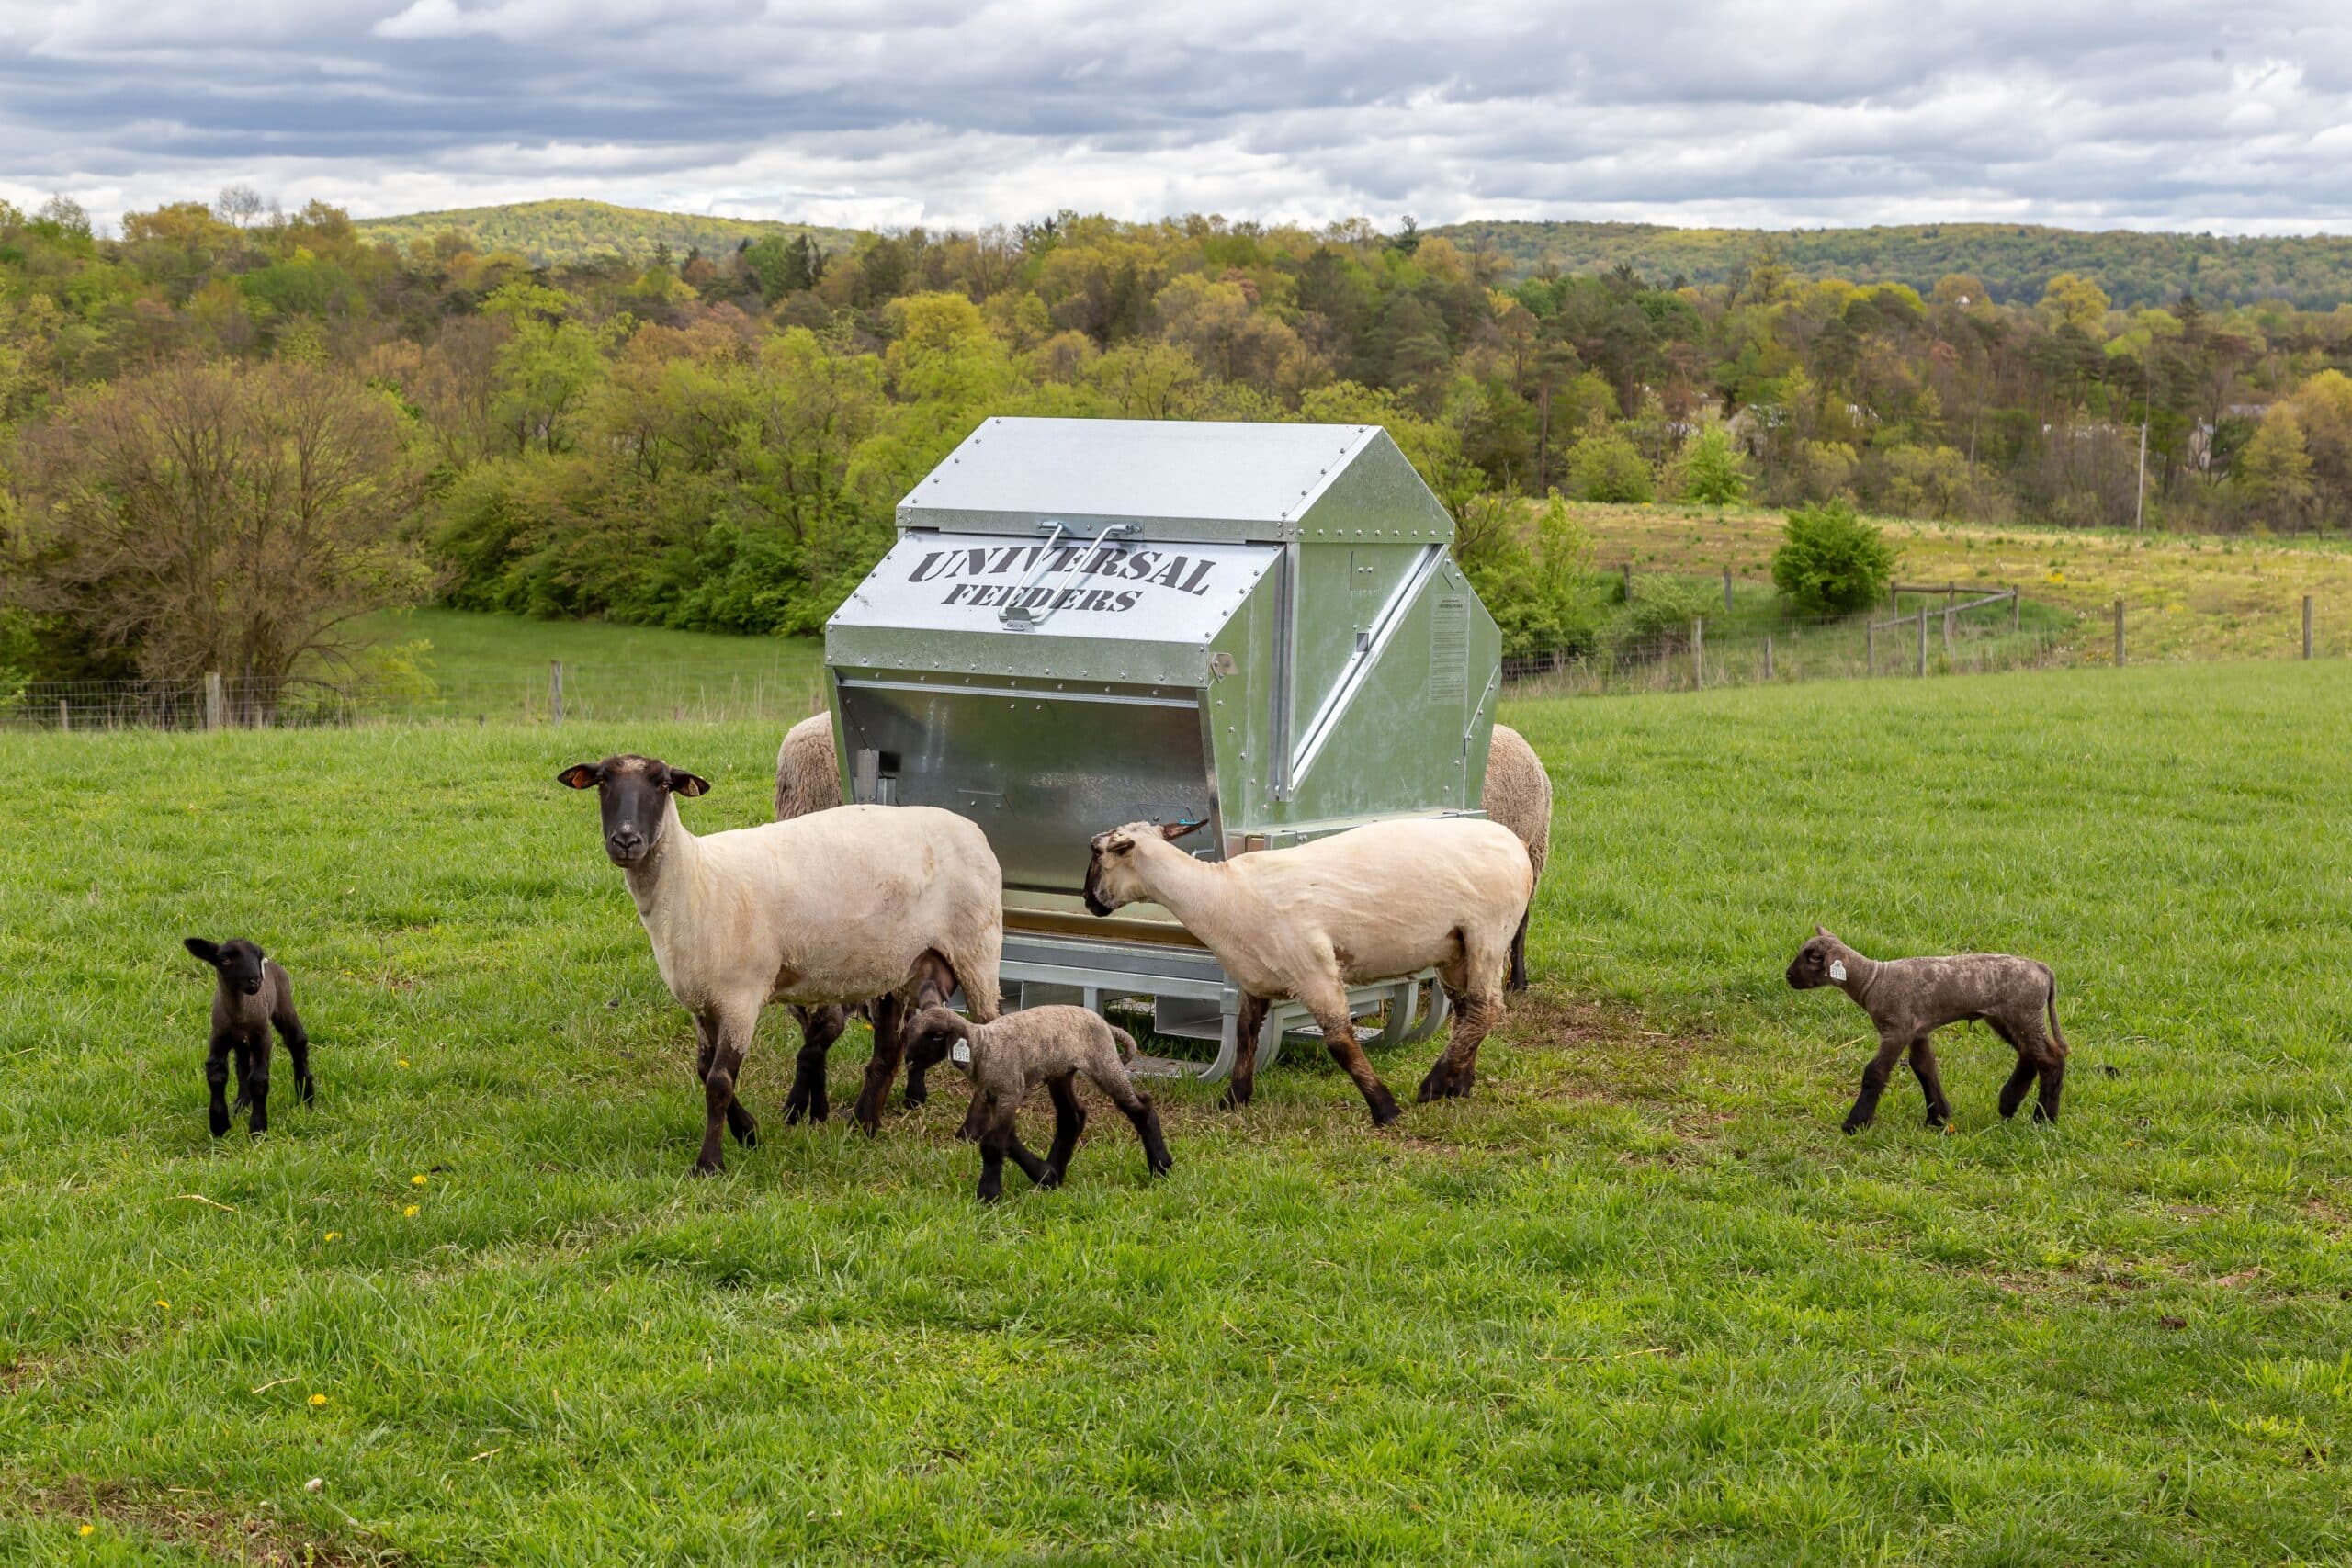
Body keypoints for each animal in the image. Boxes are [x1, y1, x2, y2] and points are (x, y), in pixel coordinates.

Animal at [182, 937, 313, 1136]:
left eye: (257, 957)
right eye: (225, 961)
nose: (255, 980)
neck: (239, 1015)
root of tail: (273, 964)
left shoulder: (263, 1038)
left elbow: (259, 1080)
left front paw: (258, 1129)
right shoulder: (218, 1037)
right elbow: (216, 1075)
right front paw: (219, 1124)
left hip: (284, 1004)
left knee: (297, 1043)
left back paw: (306, 1096)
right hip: (242, 1043)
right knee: (242, 1067)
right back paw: (241, 1104)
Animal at [558, 753, 1003, 1174]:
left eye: (664, 784)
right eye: (602, 782)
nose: (626, 840)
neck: (694, 881)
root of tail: (974, 830)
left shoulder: (740, 997)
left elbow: (719, 1082)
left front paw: (710, 1163)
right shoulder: (702, 1002)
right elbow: (704, 1069)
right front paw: (749, 1132)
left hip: (978, 952)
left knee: (986, 1036)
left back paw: (968, 1130)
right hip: (901, 964)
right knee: (889, 1050)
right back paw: (863, 1124)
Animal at [905, 1005, 1173, 1202]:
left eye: (936, 1036)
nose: (907, 1061)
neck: (984, 1048)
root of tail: (1106, 1024)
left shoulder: (1009, 1093)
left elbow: (993, 1144)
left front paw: (988, 1195)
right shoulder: (991, 1096)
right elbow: (1006, 1140)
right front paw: (1045, 1175)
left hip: (1103, 1062)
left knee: (1141, 1109)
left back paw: (1161, 1167)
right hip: (1061, 1072)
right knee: (1072, 1118)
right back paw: (1057, 1171)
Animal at [1082, 816, 1533, 1125]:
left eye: (1097, 853)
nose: (1088, 902)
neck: (1219, 895)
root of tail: (1516, 844)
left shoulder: (1313, 969)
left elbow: (1340, 1043)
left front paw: (1384, 1108)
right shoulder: (1254, 977)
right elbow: (1245, 1035)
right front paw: (1234, 1098)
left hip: (1488, 931)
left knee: (1486, 1008)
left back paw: (1434, 1085)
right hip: (1455, 948)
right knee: (1468, 1011)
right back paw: (1458, 1083)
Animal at [1786, 926, 2071, 1132]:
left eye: (1814, 958)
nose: (1788, 976)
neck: (1873, 980)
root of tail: (2043, 969)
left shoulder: (1897, 1029)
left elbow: (1875, 1072)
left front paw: (1855, 1124)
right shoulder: (1917, 1030)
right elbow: (1924, 1068)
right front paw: (1938, 1117)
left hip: (2024, 1014)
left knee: (2050, 1059)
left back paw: (2044, 1120)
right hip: (2007, 1018)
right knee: (2030, 1055)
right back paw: (2008, 1105)